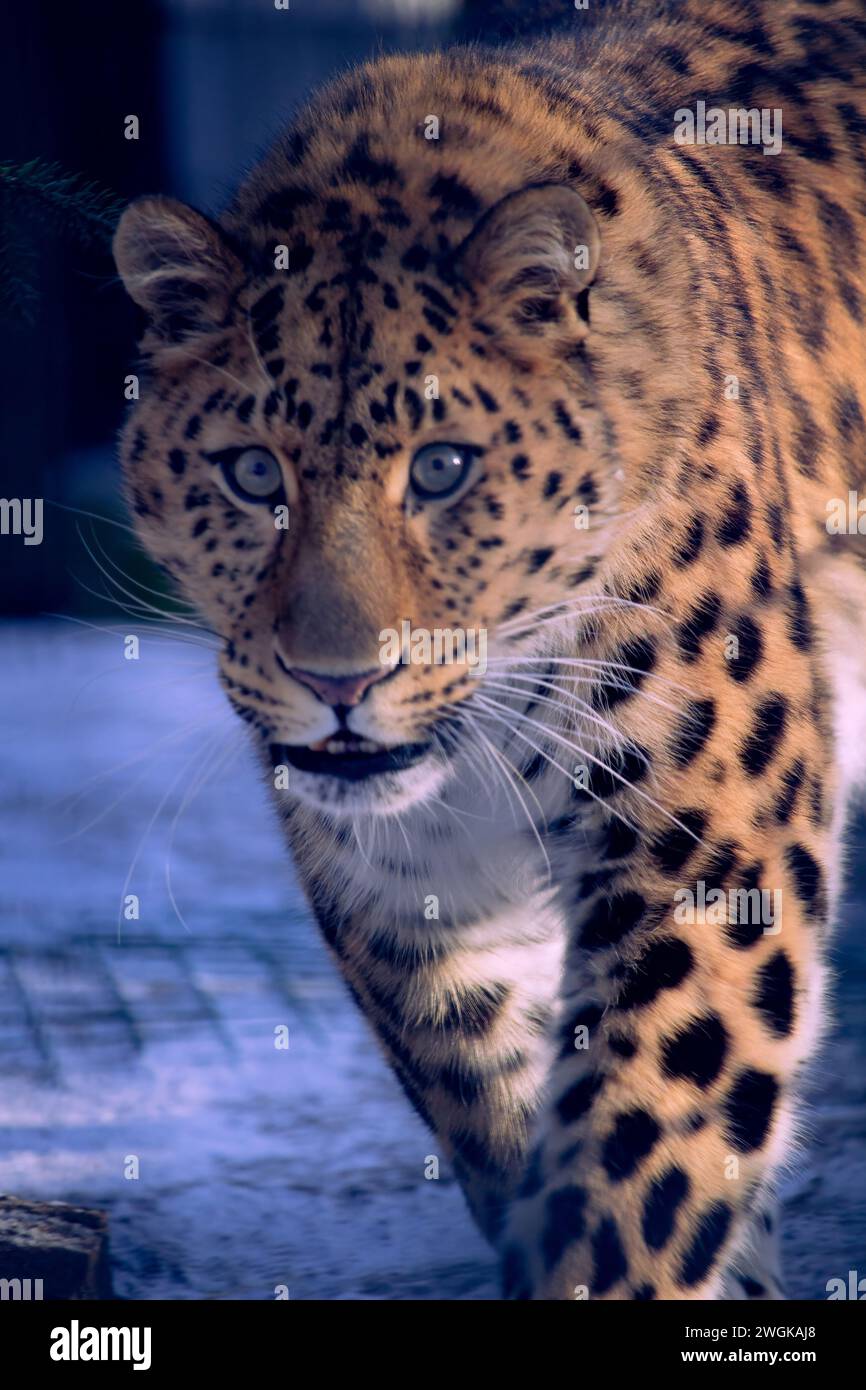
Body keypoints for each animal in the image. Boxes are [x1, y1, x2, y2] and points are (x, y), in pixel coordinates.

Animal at [111, 2, 866, 1301]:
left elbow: (639, 1146)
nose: (337, 682)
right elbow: (510, 1116)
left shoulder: (708, 840)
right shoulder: (416, 904)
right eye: (253, 474)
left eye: (443, 469)